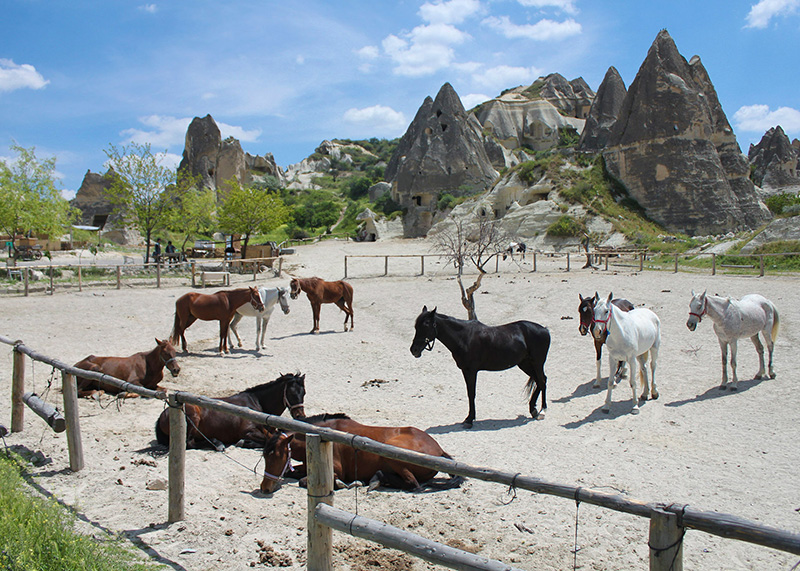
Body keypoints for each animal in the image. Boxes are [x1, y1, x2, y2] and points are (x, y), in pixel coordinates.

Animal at [155, 370, 306, 452]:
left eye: (303, 393)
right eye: (291, 393)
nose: (300, 416)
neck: (257, 405)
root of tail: (164, 414)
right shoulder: (247, 431)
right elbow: (265, 439)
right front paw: (243, 442)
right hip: (193, 419)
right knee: (190, 443)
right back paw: (218, 444)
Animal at [260, 414, 462, 494]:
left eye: (277, 456)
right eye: (265, 456)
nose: (265, 488)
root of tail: (439, 450)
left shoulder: (336, 469)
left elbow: (304, 481)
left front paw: (340, 483)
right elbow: (292, 472)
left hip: (391, 453)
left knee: (414, 485)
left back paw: (373, 480)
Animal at [412, 306, 552, 426]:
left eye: (426, 325)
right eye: (416, 326)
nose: (414, 350)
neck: (464, 337)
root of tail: (545, 329)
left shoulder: (471, 371)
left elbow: (471, 393)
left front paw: (469, 419)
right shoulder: (465, 370)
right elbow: (470, 393)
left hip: (537, 363)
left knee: (542, 381)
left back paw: (542, 411)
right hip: (525, 364)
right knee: (539, 382)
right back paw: (533, 410)